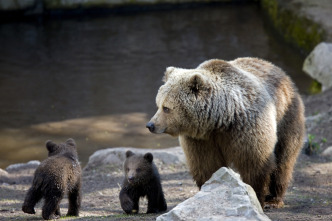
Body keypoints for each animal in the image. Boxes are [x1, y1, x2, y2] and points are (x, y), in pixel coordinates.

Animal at [147, 57, 304, 209]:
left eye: (166, 108)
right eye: (158, 104)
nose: (150, 125)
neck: (221, 119)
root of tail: (280, 70)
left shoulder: (248, 127)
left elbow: (255, 163)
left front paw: (256, 196)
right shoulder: (201, 139)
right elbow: (206, 164)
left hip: (286, 116)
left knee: (283, 160)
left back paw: (274, 200)